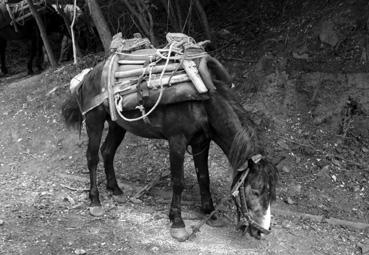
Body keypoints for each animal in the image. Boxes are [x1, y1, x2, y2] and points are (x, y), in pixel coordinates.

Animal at [61, 59, 278, 241]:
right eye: (255, 191)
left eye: (271, 194)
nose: (261, 231)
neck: (203, 105)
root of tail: (88, 76)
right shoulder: (177, 141)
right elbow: (178, 182)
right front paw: (177, 222)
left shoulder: (201, 143)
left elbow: (203, 177)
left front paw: (210, 213)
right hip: (94, 121)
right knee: (92, 157)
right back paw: (95, 202)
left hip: (117, 125)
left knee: (107, 151)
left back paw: (115, 189)